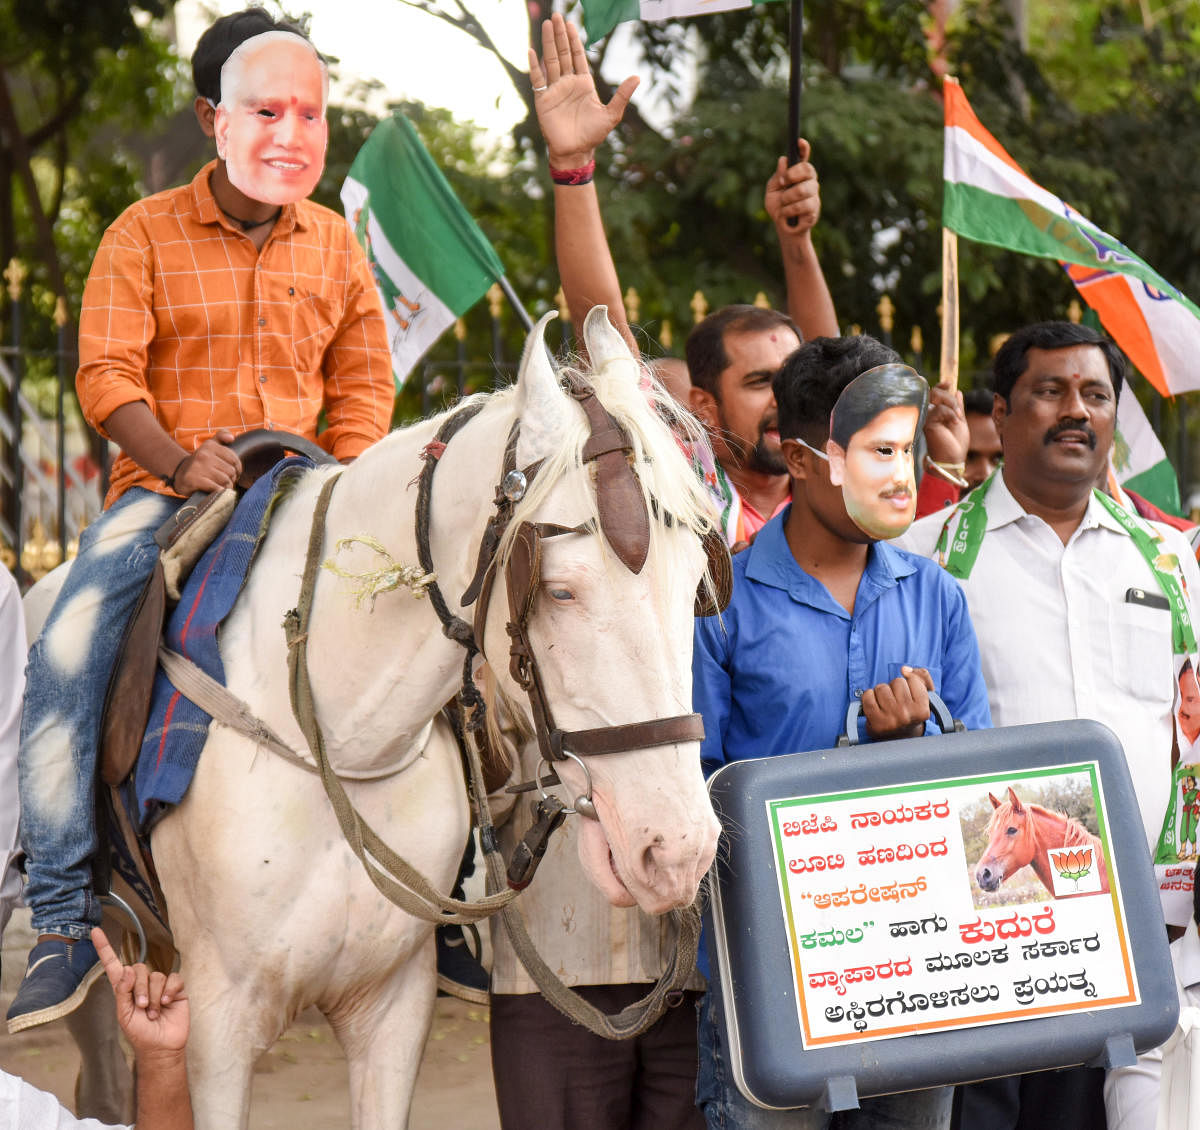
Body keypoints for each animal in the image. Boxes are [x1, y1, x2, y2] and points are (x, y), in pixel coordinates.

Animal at [110, 304, 710, 1127]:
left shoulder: (394, 1010)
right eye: (558, 591)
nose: (677, 849)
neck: (338, 741)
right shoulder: (217, 1029)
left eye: (696, 581)